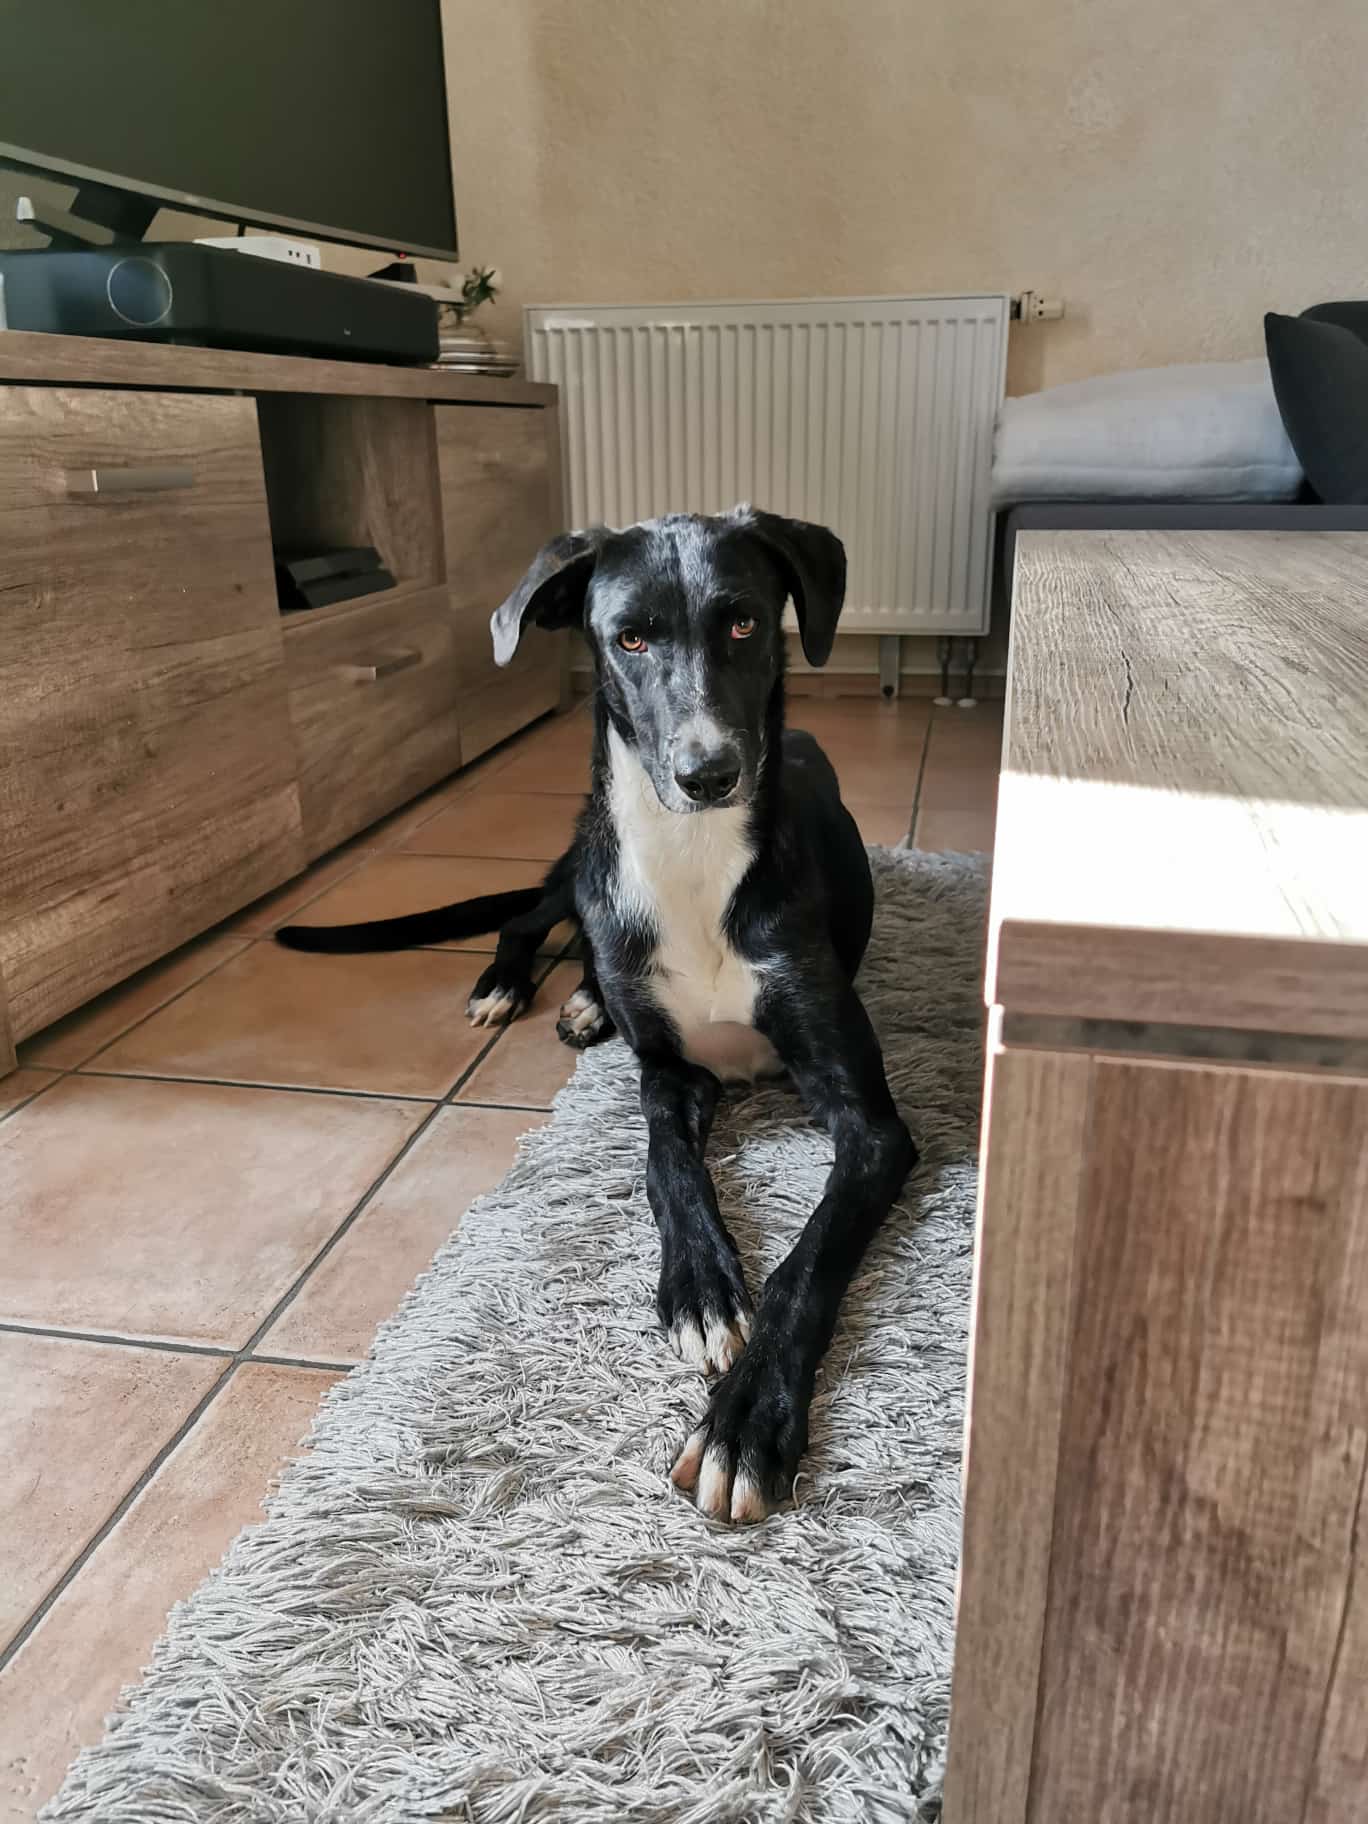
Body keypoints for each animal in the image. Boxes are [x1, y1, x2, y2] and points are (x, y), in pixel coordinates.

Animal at [278, 506, 918, 1523]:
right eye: (630, 639)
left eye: (744, 623)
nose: (708, 773)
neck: (694, 856)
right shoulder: (667, 1073)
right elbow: (668, 1164)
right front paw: (701, 1287)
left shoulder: (869, 1121)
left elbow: (809, 1260)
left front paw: (747, 1419)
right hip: (578, 859)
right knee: (525, 918)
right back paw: (531, 991)